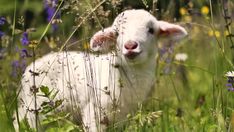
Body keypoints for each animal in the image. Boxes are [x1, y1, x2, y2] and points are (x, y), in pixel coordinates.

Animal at [14, 9, 187, 131]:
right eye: (117, 33)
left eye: (151, 30)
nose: (130, 46)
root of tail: (32, 66)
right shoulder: (95, 113)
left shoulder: (124, 117)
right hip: (32, 109)